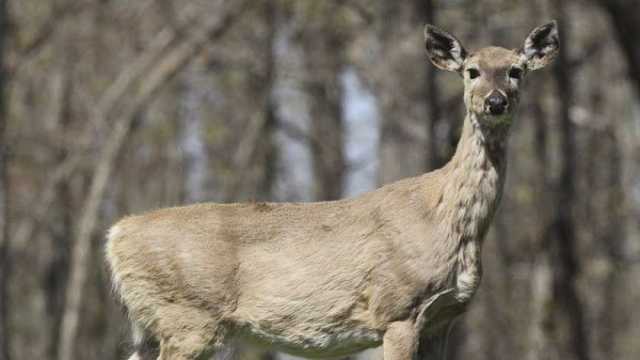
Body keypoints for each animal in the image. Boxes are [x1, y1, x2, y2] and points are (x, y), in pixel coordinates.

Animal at [104, 21, 556, 358]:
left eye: (516, 70)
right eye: (471, 70)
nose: (495, 102)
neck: (447, 219)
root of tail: (117, 234)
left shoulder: (443, 320)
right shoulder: (397, 309)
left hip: (152, 327)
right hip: (187, 318)